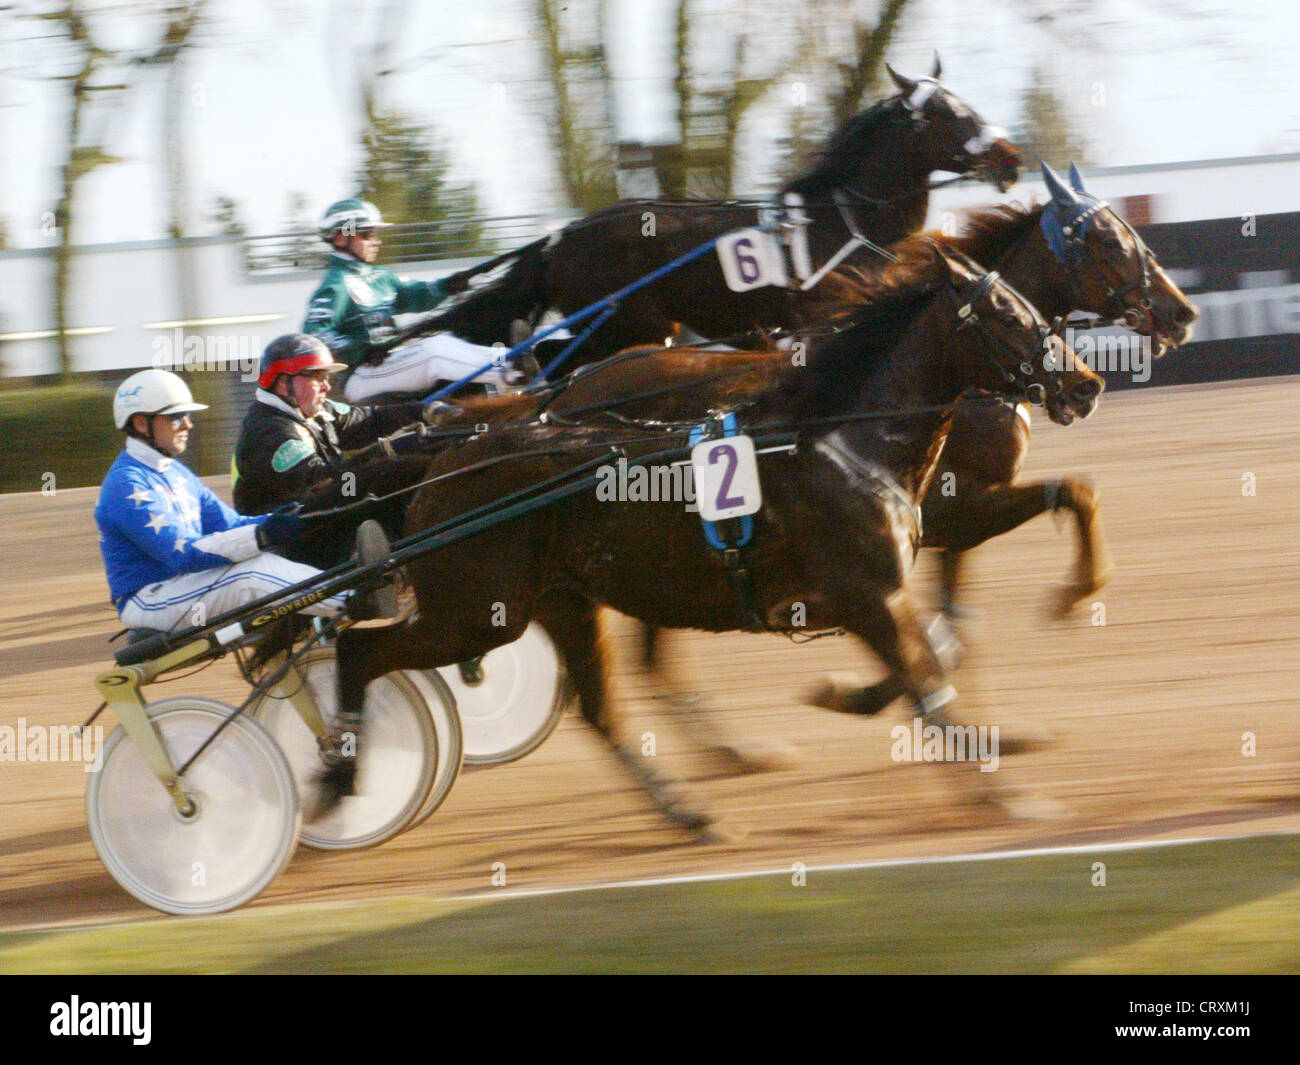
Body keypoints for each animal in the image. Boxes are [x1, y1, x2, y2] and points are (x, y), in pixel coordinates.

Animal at [319, 243, 1102, 832]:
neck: (842, 439)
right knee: (360, 647)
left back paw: (690, 808)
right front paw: (1005, 795)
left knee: (602, 708)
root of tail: (451, 455)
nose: (1087, 382)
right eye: (1007, 314)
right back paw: (339, 777)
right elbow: (929, 678)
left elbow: (941, 646)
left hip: (563, 602)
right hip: (480, 610)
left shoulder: (890, 577)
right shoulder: (870, 594)